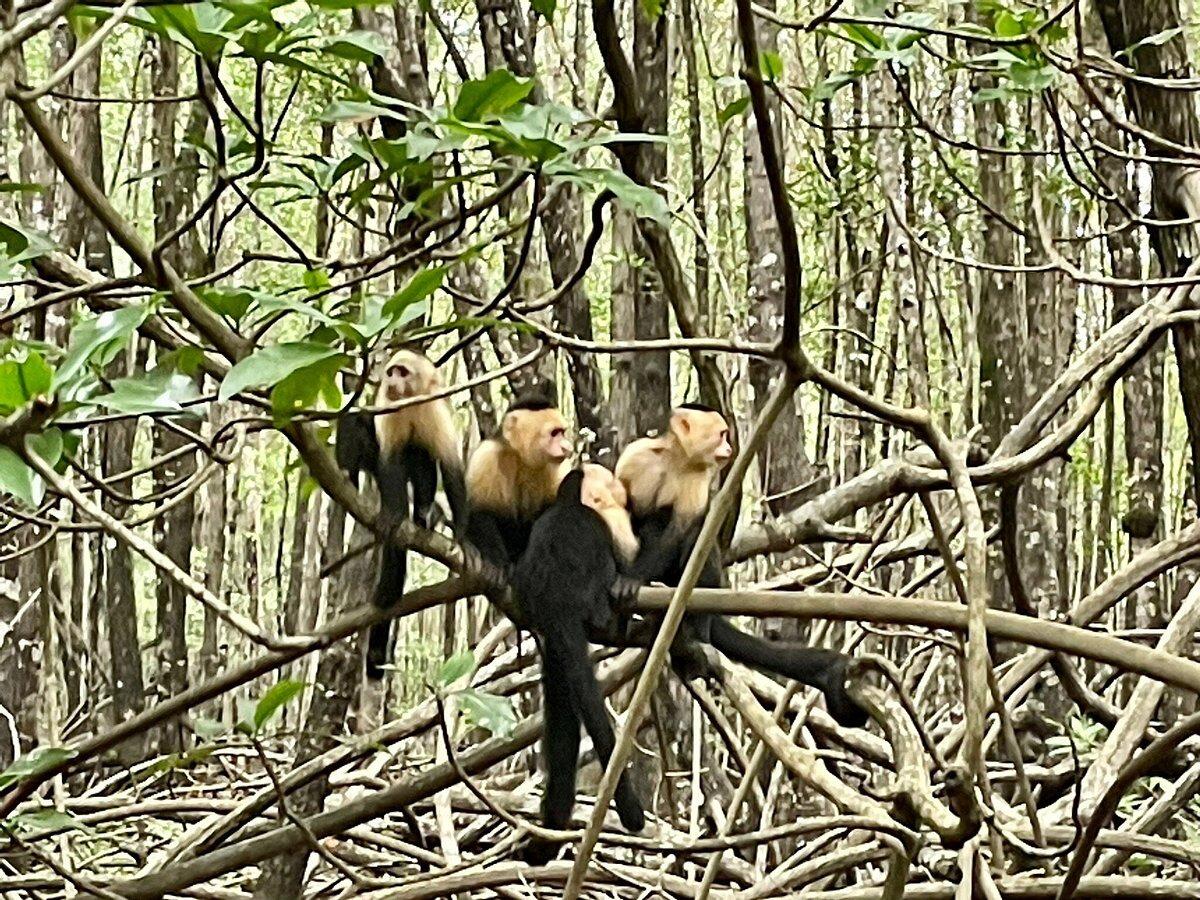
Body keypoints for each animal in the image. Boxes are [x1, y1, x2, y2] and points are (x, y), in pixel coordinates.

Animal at [335, 348, 468, 679]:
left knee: (420, 454)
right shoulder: (388, 409)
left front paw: (464, 536)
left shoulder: (436, 408)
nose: (391, 380)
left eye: (403, 372)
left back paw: (424, 515)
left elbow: (451, 468)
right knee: (357, 420)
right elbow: (389, 461)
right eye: (391, 372)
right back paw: (348, 479)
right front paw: (394, 515)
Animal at [616, 404, 869, 729]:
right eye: (721, 434)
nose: (728, 447)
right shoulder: (636, 456)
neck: (677, 460)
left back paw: (693, 634)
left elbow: (680, 531)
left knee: (696, 543)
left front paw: (633, 579)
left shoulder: (699, 480)